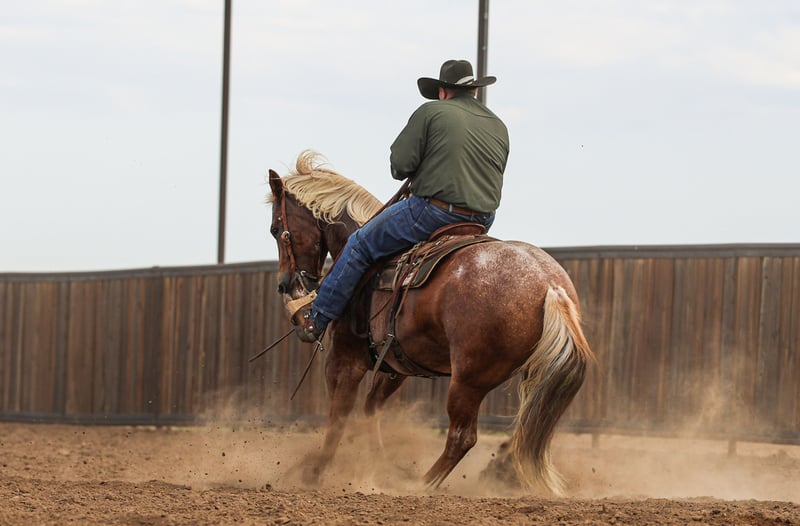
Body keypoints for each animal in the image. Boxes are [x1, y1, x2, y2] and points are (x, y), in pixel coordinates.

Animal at [266, 150, 594, 494]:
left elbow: (338, 417)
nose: (285, 284)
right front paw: (380, 465)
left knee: (462, 437)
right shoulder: (396, 366)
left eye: (276, 229)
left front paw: (312, 472)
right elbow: (371, 408)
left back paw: (418, 485)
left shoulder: (344, 359)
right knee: (527, 424)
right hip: (529, 372)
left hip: (469, 379)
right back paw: (497, 470)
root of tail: (550, 285)